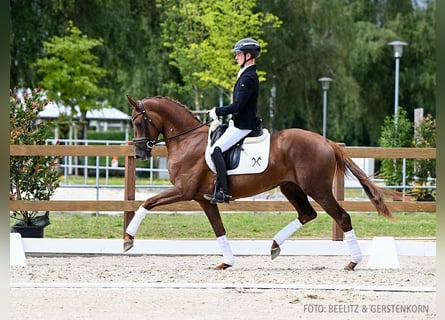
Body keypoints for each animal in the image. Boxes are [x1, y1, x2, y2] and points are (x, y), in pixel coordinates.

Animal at [123, 94, 394, 270]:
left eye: (138, 122)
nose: (139, 154)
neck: (187, 140)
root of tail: (327, 142)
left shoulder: (183, 190)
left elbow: (147, 202)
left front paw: (128, 239)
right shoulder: (204, 199)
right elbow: (219, 228)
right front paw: (227, 262)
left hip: (317, 188)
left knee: (341, 217)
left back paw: (353, 262)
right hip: (290, 187)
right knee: (307, 214)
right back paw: (274, 245)